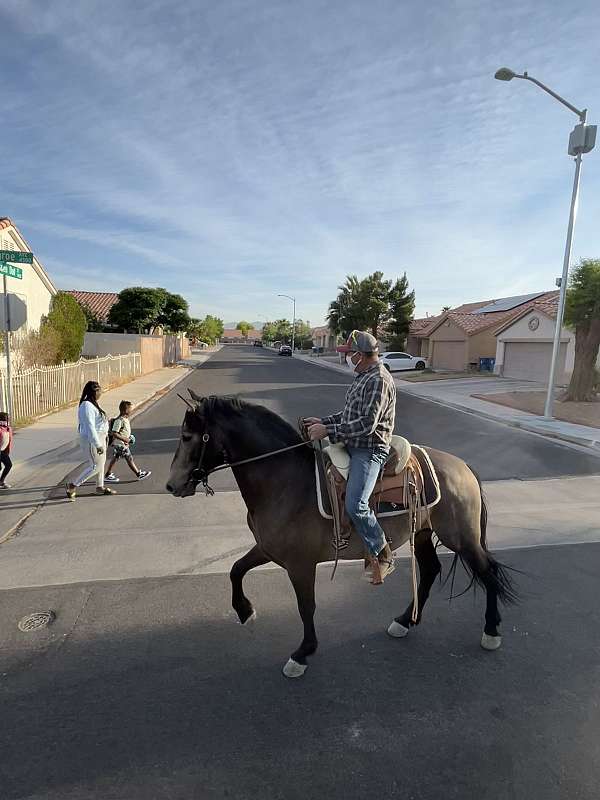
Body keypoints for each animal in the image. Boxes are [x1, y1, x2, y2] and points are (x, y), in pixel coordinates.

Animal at [166, 390, 516, 680]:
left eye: (187, 436)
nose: (172, 485)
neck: (287, 481)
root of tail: (462, 466)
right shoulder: (267, 548)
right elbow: (236, 569)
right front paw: (245, 610)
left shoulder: (300, 564)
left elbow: (306, 606)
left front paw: (302, 654)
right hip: (422, 534)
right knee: (431, 570)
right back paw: (404, 621)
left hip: (461, 538)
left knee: (487, 573)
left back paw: (491, 631)